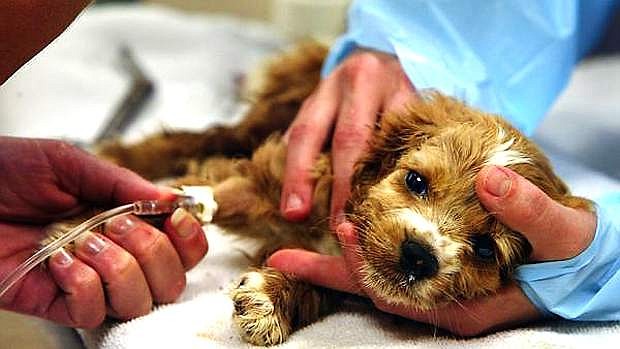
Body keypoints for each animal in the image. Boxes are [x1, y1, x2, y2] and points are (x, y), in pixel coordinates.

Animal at [76, 42, 592, 344]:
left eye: (486, 248)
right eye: (416, 181)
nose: (419, 255)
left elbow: (319, 280)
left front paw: (270, 300)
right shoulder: (289, 180)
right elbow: (216, 194)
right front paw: (84, 229)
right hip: (269, 118)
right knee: (203, 138)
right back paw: (117, 153)